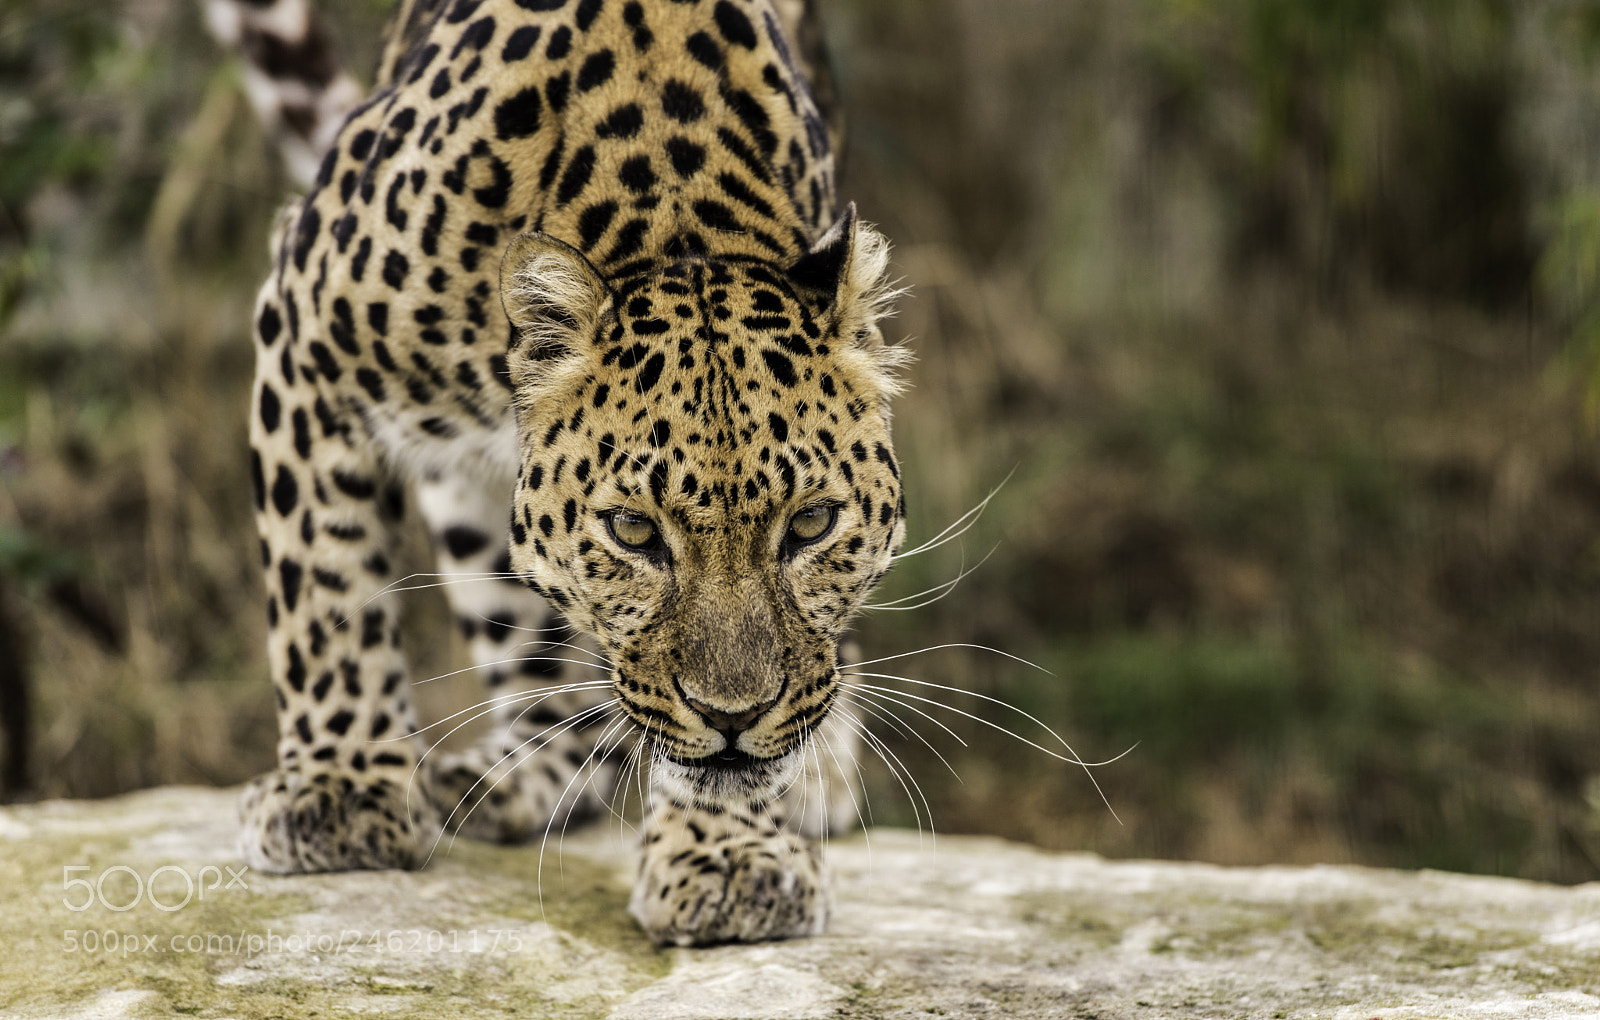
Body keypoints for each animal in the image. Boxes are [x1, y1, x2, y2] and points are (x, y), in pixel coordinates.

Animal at [210, 0, 909, 946]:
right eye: (634, 531)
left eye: (810, 524)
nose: (733, 717)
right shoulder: (305, 334)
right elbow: (324, 588)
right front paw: (340, 790)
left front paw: (727, 853)